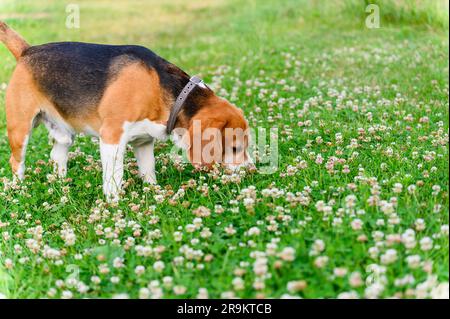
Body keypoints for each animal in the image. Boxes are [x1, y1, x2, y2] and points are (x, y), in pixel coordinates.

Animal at [0, 21, 250, 202]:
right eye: (234, 148)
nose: (251, 171)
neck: (169, 91)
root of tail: (27, 51)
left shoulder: (144, 141)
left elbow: (149, 170)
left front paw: (154, 192)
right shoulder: (111, 137)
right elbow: (114, 177)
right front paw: (114, 203)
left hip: (63, 133)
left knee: (57, 157)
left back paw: (61, 185)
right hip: (20, 129)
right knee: (16, 162)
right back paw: (20, 189)